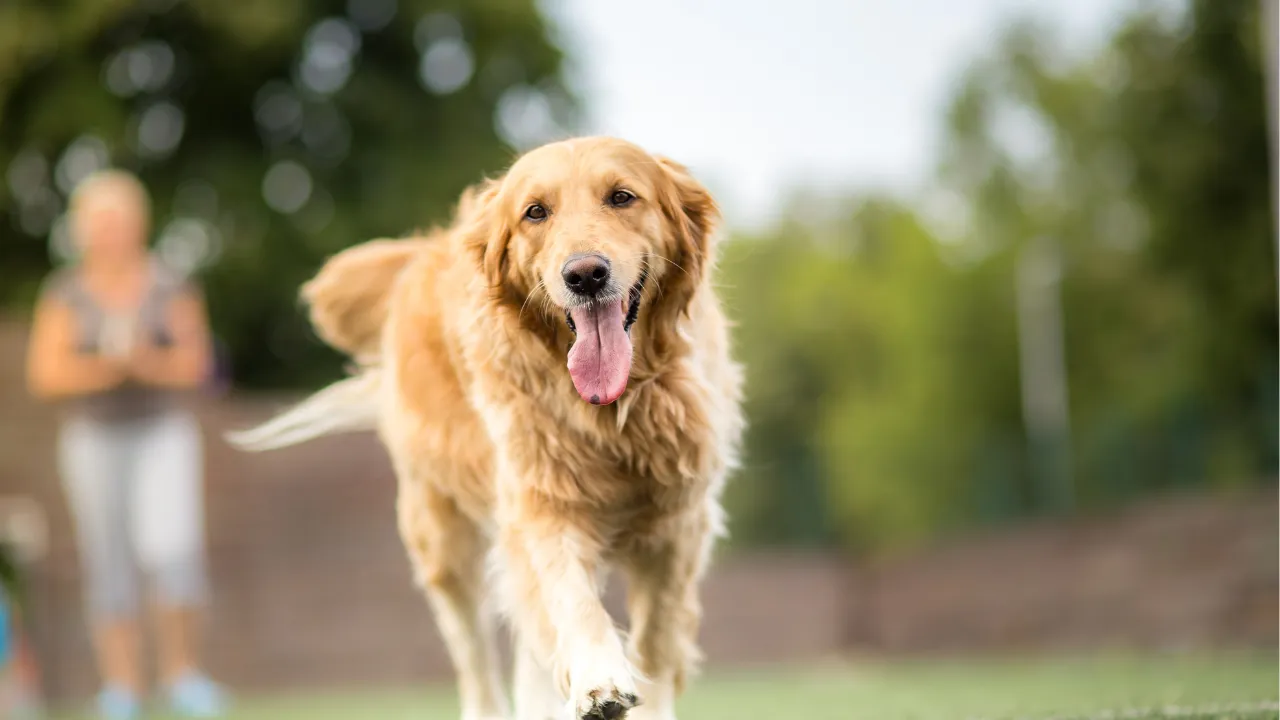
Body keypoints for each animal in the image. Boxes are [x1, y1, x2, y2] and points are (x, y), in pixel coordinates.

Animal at [230, 135, 747, 717]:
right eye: (535, 212)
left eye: (621, 196)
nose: (585, 275)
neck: (611, 411)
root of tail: (426, 248)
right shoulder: (540, 504)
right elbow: (571, 597)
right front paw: (598, 677)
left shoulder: (678, 526)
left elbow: (656, 645)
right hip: (442, 540)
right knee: (477, 664)